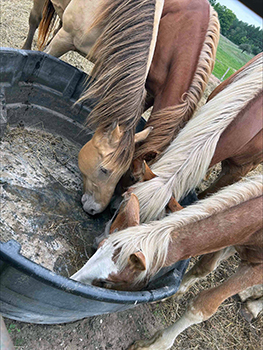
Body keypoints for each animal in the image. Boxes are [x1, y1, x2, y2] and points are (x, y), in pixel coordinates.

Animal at [71, 175, 262, 350]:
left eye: (106, 281)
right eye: (96, 251)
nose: (73, 283)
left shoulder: (255, 268)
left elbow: (202, 306)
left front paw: (154, 345)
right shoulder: (232, 239)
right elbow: (204, 267)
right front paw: (176, 292)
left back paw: (252, 305)